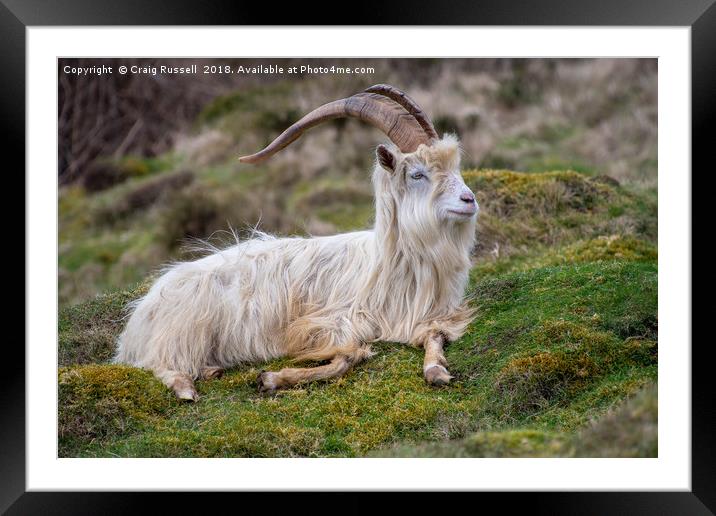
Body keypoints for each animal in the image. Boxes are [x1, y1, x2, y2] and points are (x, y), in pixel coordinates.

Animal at [114, 84, 478, 402]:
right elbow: (348, 358)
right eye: (417, 174)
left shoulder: (428, 315)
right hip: (183, 330)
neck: (386, 263)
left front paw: (436, 370)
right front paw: (271, 378)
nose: (469, 200)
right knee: (158, 363)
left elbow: (434, 335)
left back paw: (210, 371)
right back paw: (185, 388)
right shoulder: (328, 322)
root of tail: (141, 315)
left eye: (454, 166)